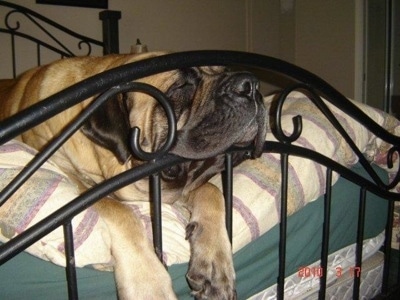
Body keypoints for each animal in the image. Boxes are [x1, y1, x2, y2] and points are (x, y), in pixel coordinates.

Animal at [0, 52, 268, 298]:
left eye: (225, 71)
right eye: (182, 86)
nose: (251, 84)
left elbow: (212, 192)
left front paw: (215, 263)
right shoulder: (69, 173)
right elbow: (119, 210)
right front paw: (149, 284)